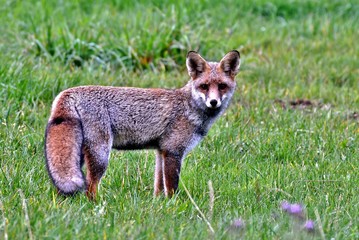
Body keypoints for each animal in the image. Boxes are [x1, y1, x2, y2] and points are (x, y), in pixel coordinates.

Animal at [45, 50, 242, 199]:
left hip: (76, 158)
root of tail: (68, 92)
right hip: (100, 155)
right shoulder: (173, 151)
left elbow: (159, 186)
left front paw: (159, 205)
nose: (213, 102)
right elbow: (172, 188)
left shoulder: (161, 152)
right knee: (90, 188)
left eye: (222, 86)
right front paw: (173, 206)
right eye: (204, 86)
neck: (189, 107)